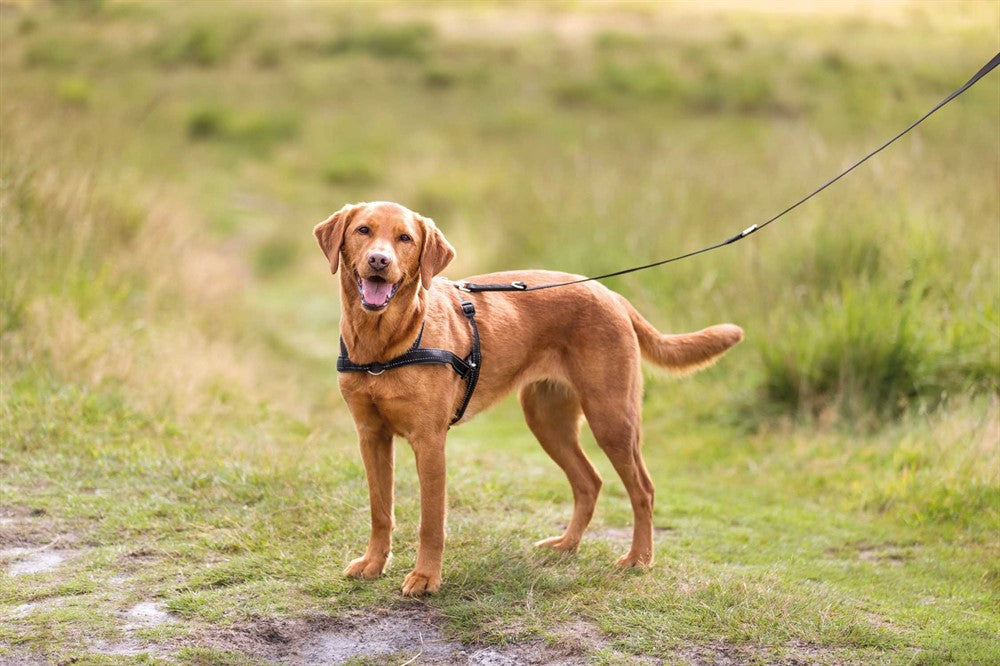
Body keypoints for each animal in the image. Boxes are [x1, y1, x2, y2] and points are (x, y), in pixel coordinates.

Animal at [314, 200, 744, 592]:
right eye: (364, 230)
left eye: (405, 238)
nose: (379, 260)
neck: (384, 345)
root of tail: (609, 292)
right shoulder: (371, 436)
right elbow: (380, 511)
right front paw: (373, 564)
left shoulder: (430, 442)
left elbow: (431, 522)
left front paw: (426, 578)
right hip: (547, 420)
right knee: (589, 482)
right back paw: (567, 545)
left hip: (612, 419)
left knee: (643, 489)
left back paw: (639, 558)